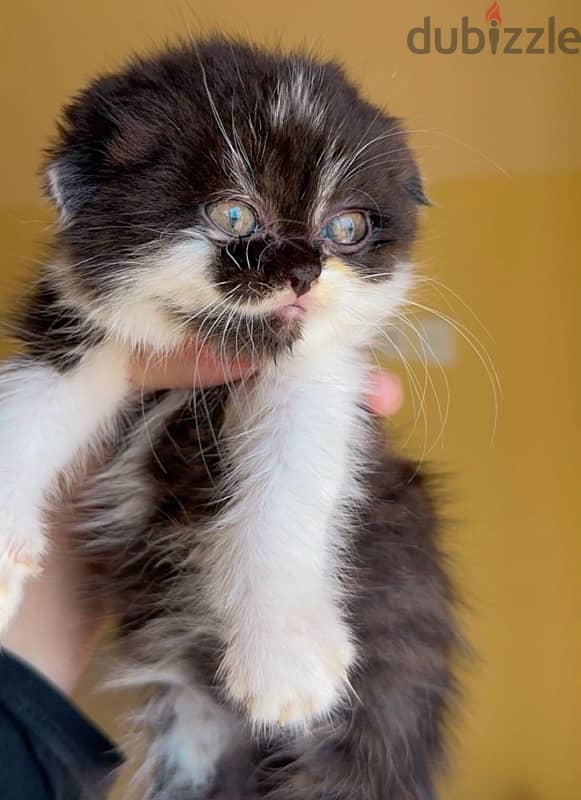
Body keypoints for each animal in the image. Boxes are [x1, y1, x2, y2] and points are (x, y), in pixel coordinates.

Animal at [0, 39, 458, 800]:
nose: (305, 271)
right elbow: (30, 402)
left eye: (346, 228)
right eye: (235, 216)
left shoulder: (321, 377)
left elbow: (289, 478)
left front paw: (283, 657)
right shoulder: (80, 326)